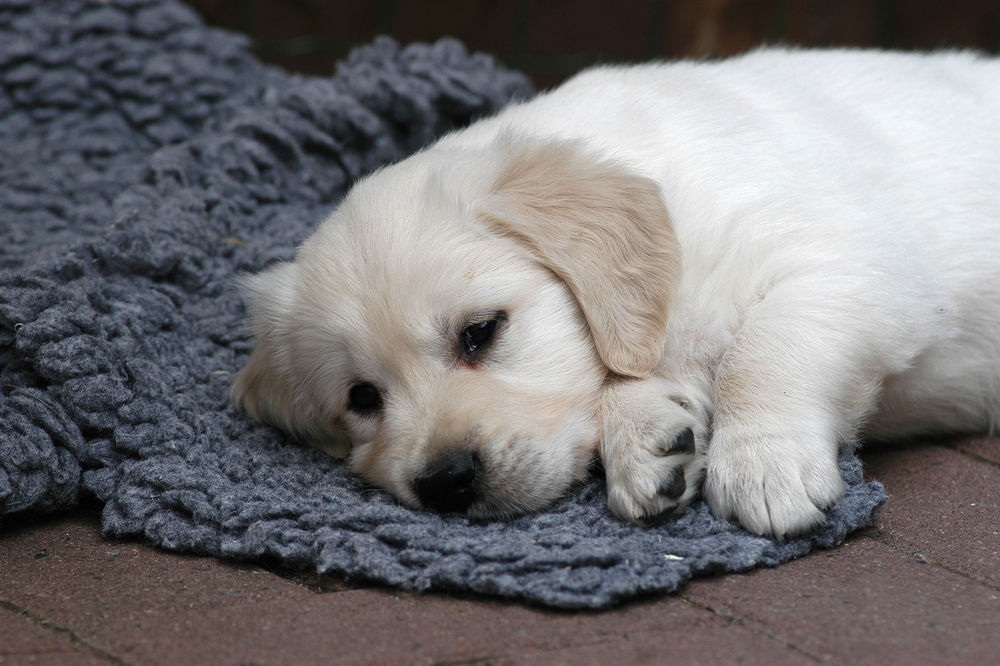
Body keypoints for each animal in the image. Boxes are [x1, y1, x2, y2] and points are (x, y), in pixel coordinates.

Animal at [234, 50, 1000, 540]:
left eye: (479, 332)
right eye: (362, 398)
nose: (445, 482)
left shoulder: (852, 263)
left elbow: (764, 349)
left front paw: (762, 461)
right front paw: (646, 438)